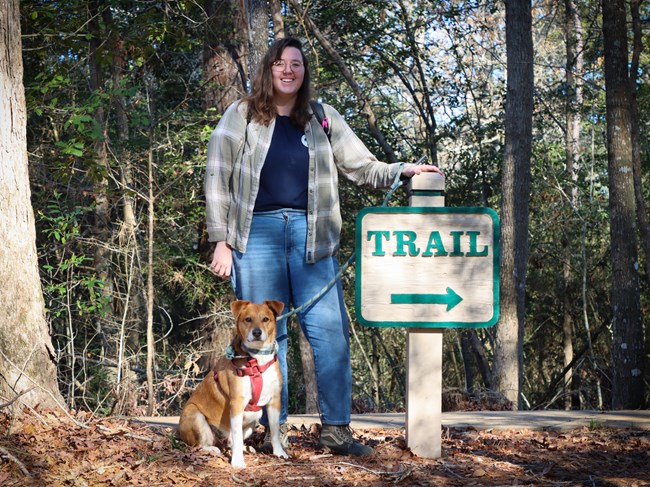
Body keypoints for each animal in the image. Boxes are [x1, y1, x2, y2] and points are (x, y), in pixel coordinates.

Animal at [178, 300, 288, 470]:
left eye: (265, 319)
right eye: (248, 319)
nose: (257, 332)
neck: (257, 359)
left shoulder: (274, 401)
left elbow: (275, 430)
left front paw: (279, 452)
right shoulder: (237, 403)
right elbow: (236, 434)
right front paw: (237, 461)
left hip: (253, 421)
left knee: (232, 441)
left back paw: (245, 447)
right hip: (195, 414)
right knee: (200, 444)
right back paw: (213, 448)